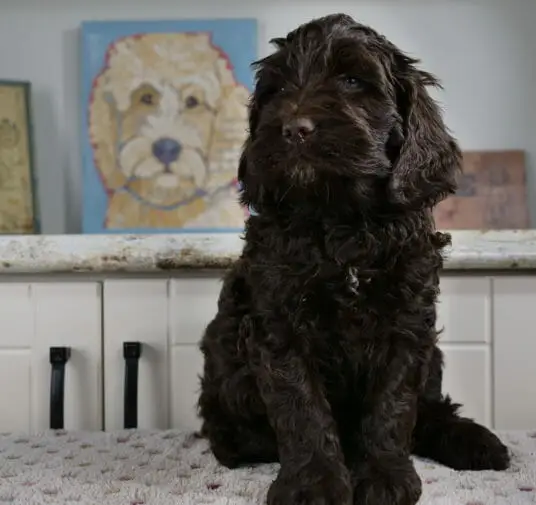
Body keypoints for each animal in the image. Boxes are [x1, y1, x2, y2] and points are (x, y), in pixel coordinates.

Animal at [198, 14, 510, 504]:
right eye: (277, 90)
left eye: (351, 81)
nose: (294, 128)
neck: (341, 220)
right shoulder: (278, 323)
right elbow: (301, 405)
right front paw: (313, 482)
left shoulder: (406, 323)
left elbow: (393, 404)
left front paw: (383, 477)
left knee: (432, 410)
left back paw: (477, 442)